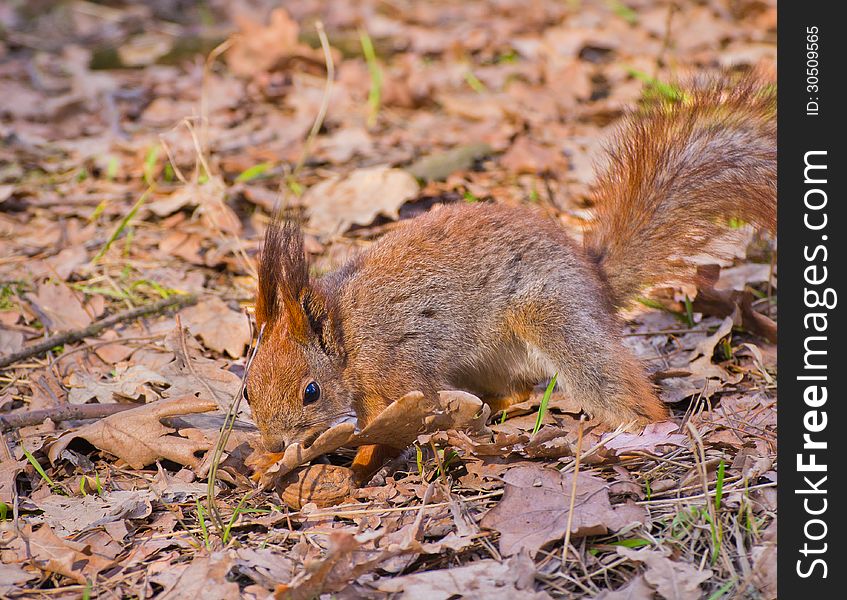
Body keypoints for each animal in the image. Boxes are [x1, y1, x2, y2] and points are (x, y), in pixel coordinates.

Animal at [243, 77, 776, 486]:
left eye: (311, 391)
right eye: (247, 390)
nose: (274, 439)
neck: (348, 335)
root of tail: (596, 280)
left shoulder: (396, 372)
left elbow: (394, 427)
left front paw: (356, 467)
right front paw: (266, 460)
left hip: (554, 315)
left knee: (616, 386)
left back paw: (640, 431)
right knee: (517, 391)